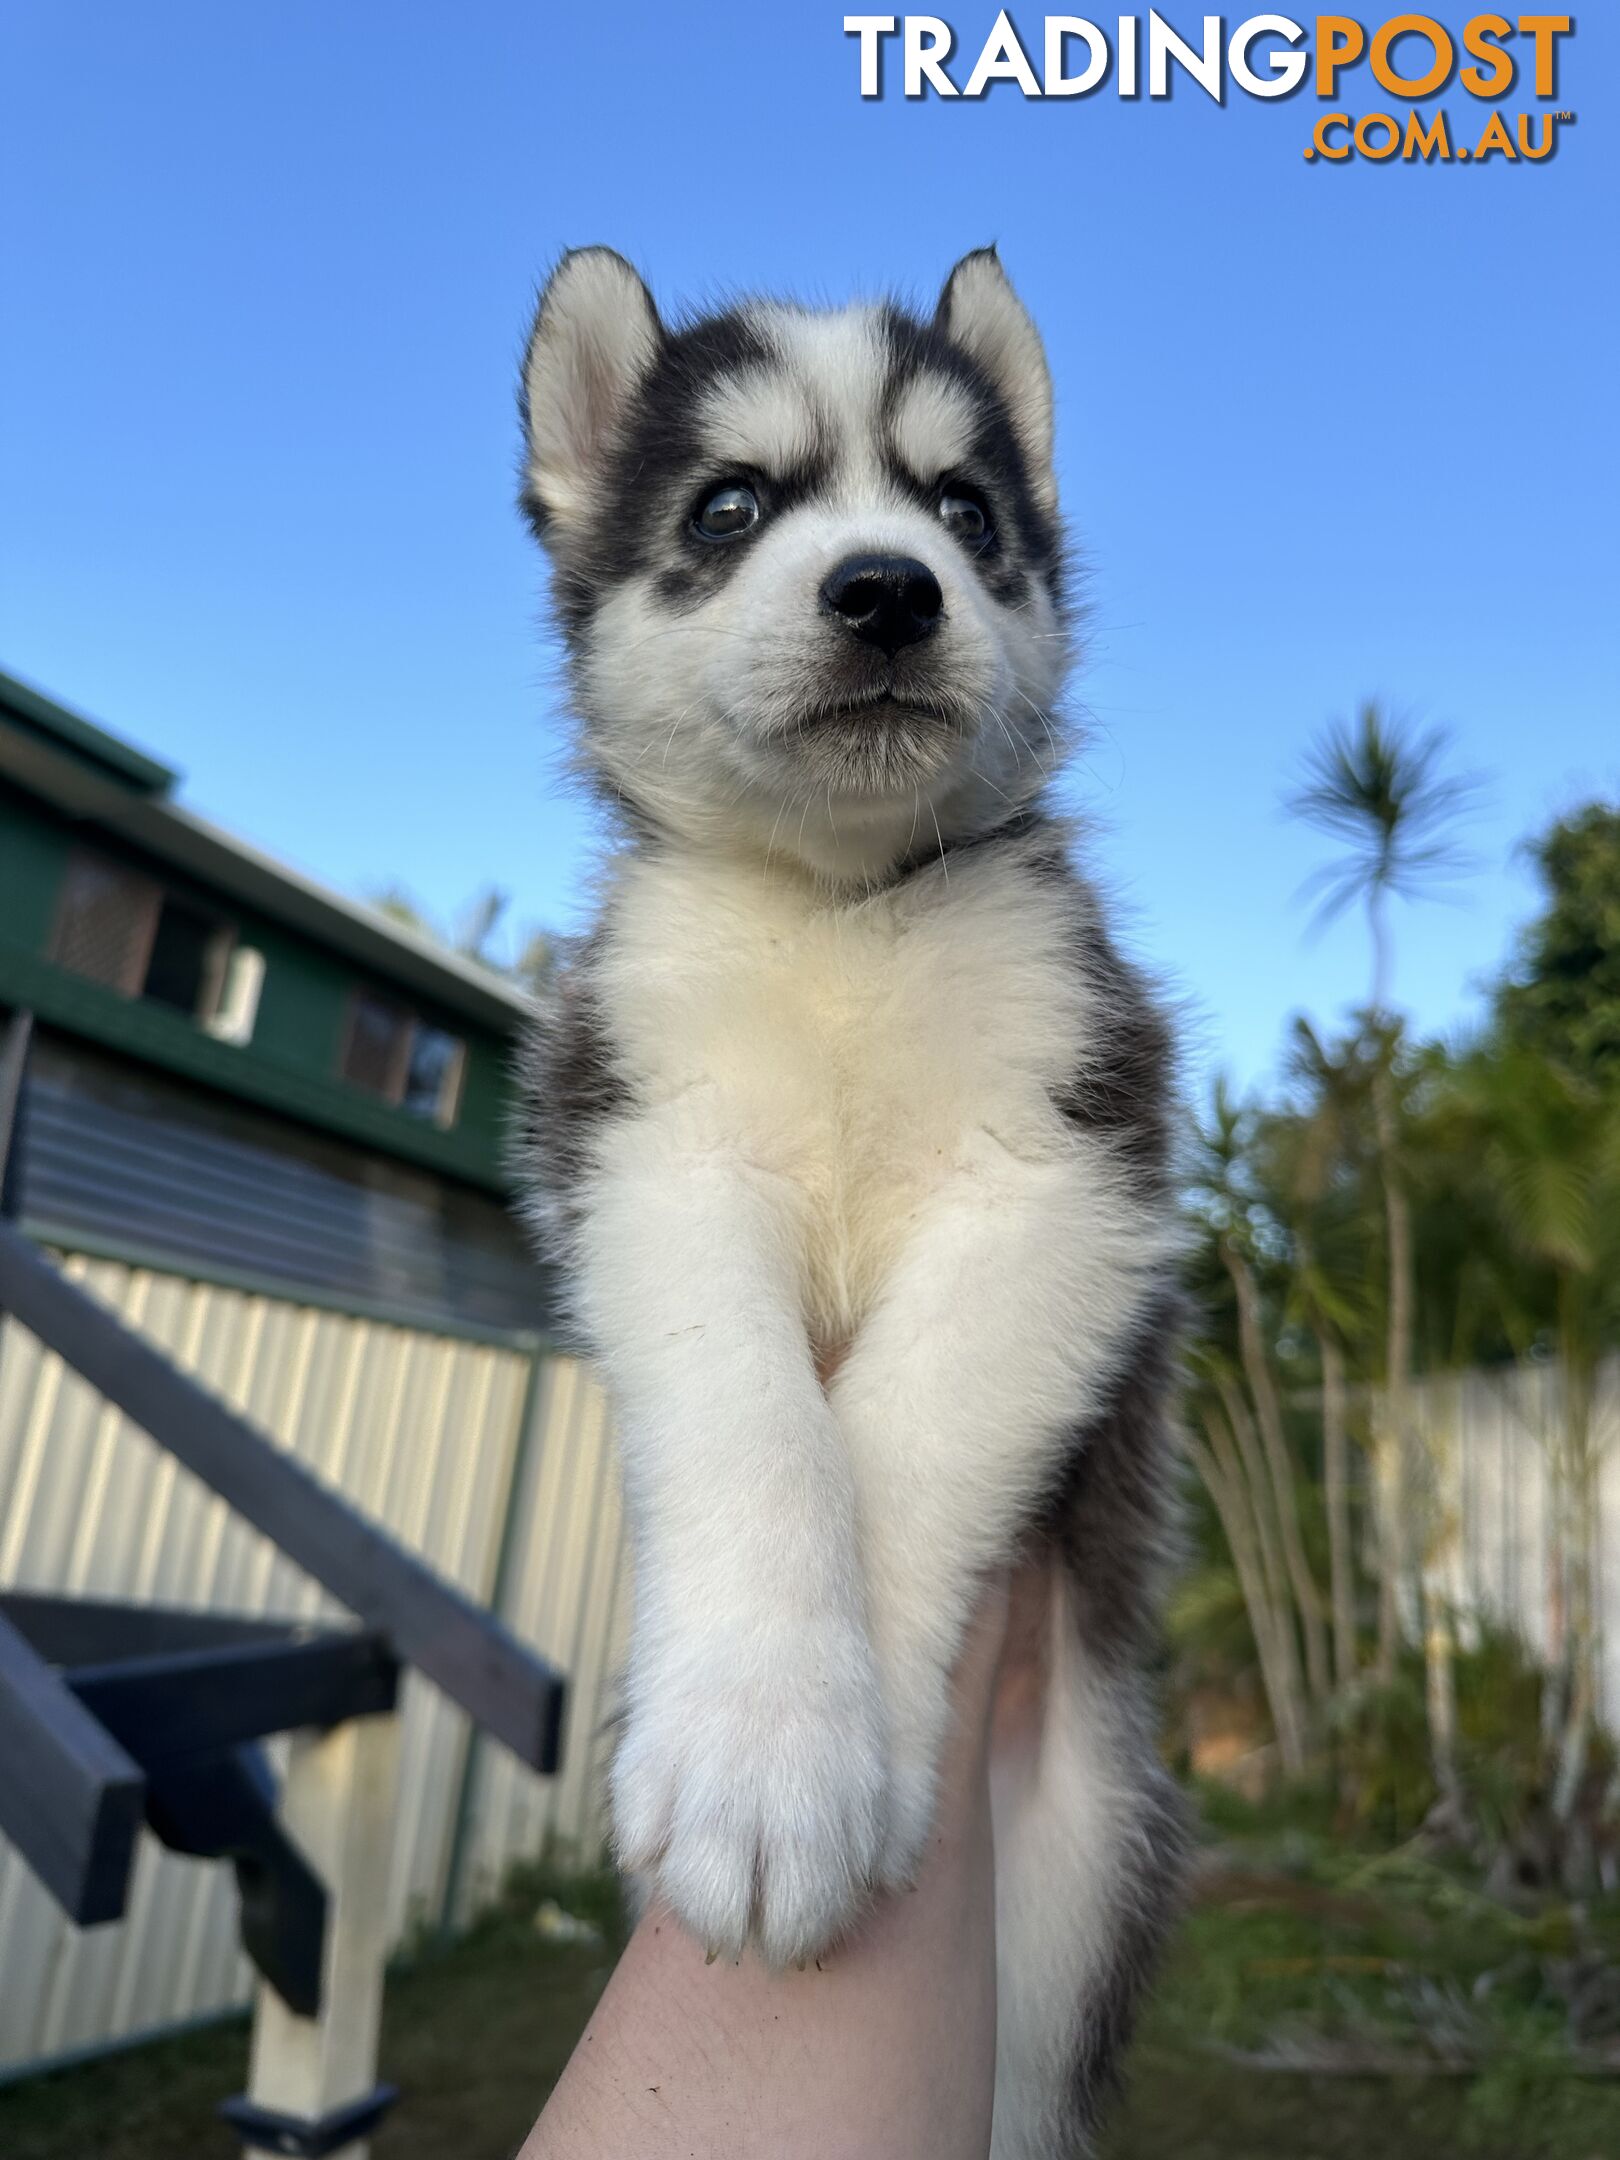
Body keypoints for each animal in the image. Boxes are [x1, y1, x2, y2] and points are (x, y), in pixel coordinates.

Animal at [514, 245, 1183, 2151]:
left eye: (966, 511)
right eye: (729, 508)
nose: (890, 590)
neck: (841, 913)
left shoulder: (1072, 1164)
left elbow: (897, 1430)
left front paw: (822, 1753)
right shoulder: (649, 1146)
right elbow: (758, 1420)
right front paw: (761, 1743)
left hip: (1087, 1869)